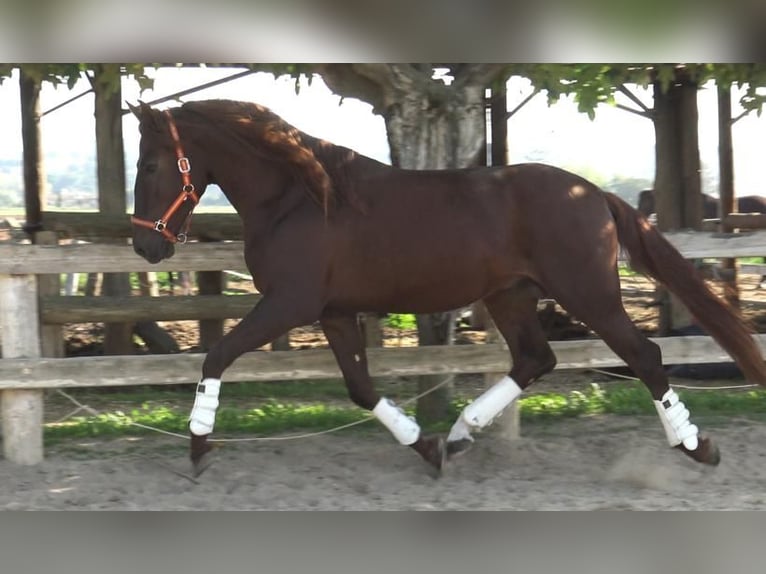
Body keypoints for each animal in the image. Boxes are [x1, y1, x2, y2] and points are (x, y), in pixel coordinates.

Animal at [127, 101, 766, 480]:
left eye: (152, 164)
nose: (145, 246)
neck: (299, 199)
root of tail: (593, 193)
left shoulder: (289, 303)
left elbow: (215, 355)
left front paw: (198, 447)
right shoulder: (333, 312)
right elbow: (361, 388)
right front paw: (427, 446)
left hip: (590, 295)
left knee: (645, 356)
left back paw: (697, 447)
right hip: (512, 296)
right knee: (536, 359)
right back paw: (460, 435)